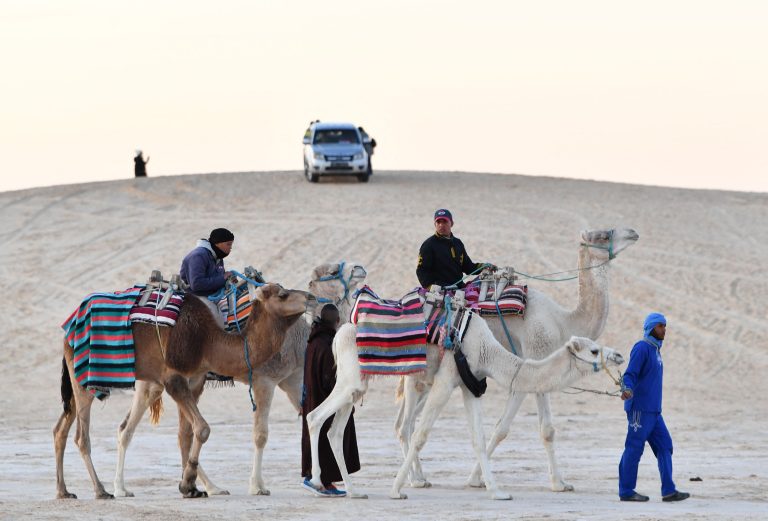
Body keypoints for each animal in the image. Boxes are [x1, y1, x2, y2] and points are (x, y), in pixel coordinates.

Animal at [54, 283, 310, 500]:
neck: (208, 340)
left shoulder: (195, 380)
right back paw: (102, 490)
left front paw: (191, 487)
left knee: (63, 429)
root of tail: (69, 327)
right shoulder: (174, 378)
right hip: (88, 377)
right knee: (83, 435)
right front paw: (189, 483)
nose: (310, 296)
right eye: (283, 294)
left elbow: (190, 432)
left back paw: (65, 491)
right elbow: (204, 429)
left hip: (89, 378)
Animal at [112, 262, 367, 498]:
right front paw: (257, 486)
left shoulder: (293, 379)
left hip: (166, 380)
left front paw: (321, 482)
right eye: (332, 270)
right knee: (139, 429)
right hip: (160, 379)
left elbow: (306, 415)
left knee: (160, 431)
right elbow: (261, 435)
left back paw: (201, 487)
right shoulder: (265, 380)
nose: (359, 268)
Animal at [306, 311, 624, 500]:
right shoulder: (446, 380)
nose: (619, 355)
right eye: (593, 350)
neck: (485, 349)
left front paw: (496, 491)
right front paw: (396, 489)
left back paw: (354, 491)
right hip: (356, 378)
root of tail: (340, 334)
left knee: (336, 430)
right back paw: (320, 482)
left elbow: (479, 439)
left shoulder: (471, 386)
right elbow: (421, 436)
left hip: (360, 383)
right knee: (315, 416)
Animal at [395, 227, 638, 491]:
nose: (632, 233)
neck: (563, 322)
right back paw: (415, 480)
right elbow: (519, 428)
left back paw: (419, 477)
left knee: (404, 421)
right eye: (603, 236)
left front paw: (560, 481)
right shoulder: (534, 354)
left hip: (428, 376)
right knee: (406, 423)